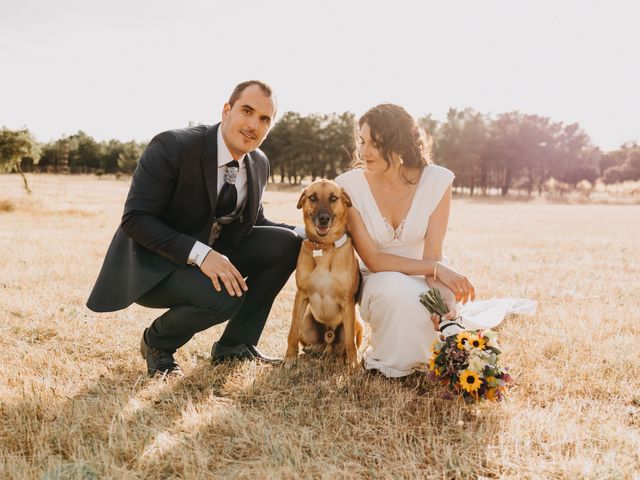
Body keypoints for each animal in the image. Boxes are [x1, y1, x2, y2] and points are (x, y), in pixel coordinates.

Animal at [284, 178, 364, 366]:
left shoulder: (347, 302)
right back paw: (310, 352)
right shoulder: (301, 295)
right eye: (313, 197)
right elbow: (292, 331)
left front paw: (354, 366)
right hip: (306, 323)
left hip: (358, 321)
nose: (323, 219)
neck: (324, 248)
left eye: (333, 198)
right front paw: (290, 357)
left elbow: (350, 343)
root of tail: (329, 338)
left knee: (349, 343)